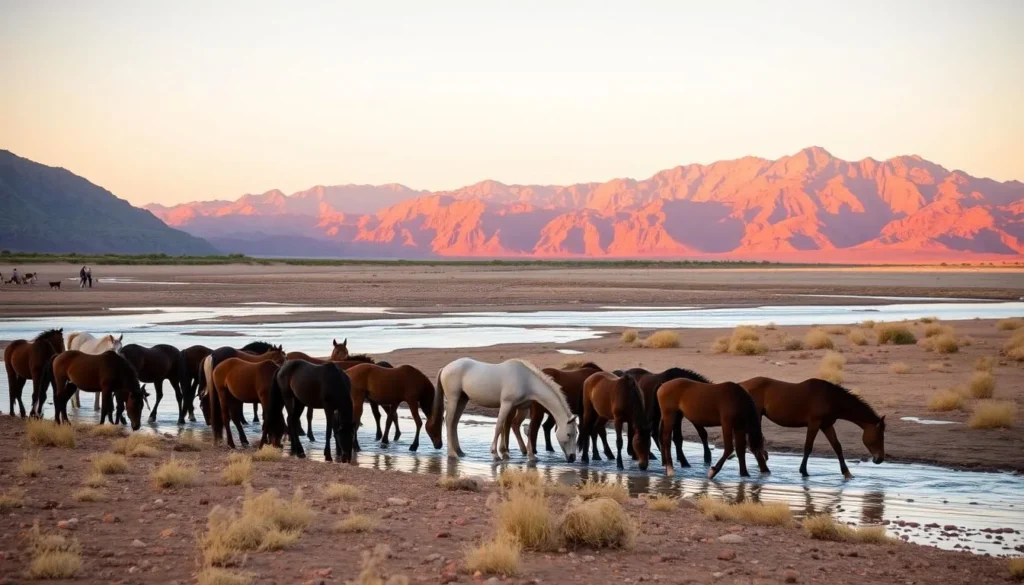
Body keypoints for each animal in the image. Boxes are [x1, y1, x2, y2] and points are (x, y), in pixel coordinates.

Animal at [430, 358, 578, 462]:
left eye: (576, 433)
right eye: (569, 434)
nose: (572, 457)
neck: (526, 380)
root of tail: (445, 368)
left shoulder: (519, 407)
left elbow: (522, 428)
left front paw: (527, 455)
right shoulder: (506, 404)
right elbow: (499, 426)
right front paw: (496, 455)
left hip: (462, 400)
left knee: (454, 423)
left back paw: (460, 452)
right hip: (453, 399)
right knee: (449, 421)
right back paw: (452, 454)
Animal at [739, 377, 886, 479]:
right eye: (880, 436)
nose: (880, 459)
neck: (829, 397)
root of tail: (741, 386)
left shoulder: (826, 425)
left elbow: (837, 447)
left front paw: (847, 473)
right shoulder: (814, 423)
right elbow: (808, 447)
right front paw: (804, 471)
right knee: (754, 444)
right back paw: (764, 469)